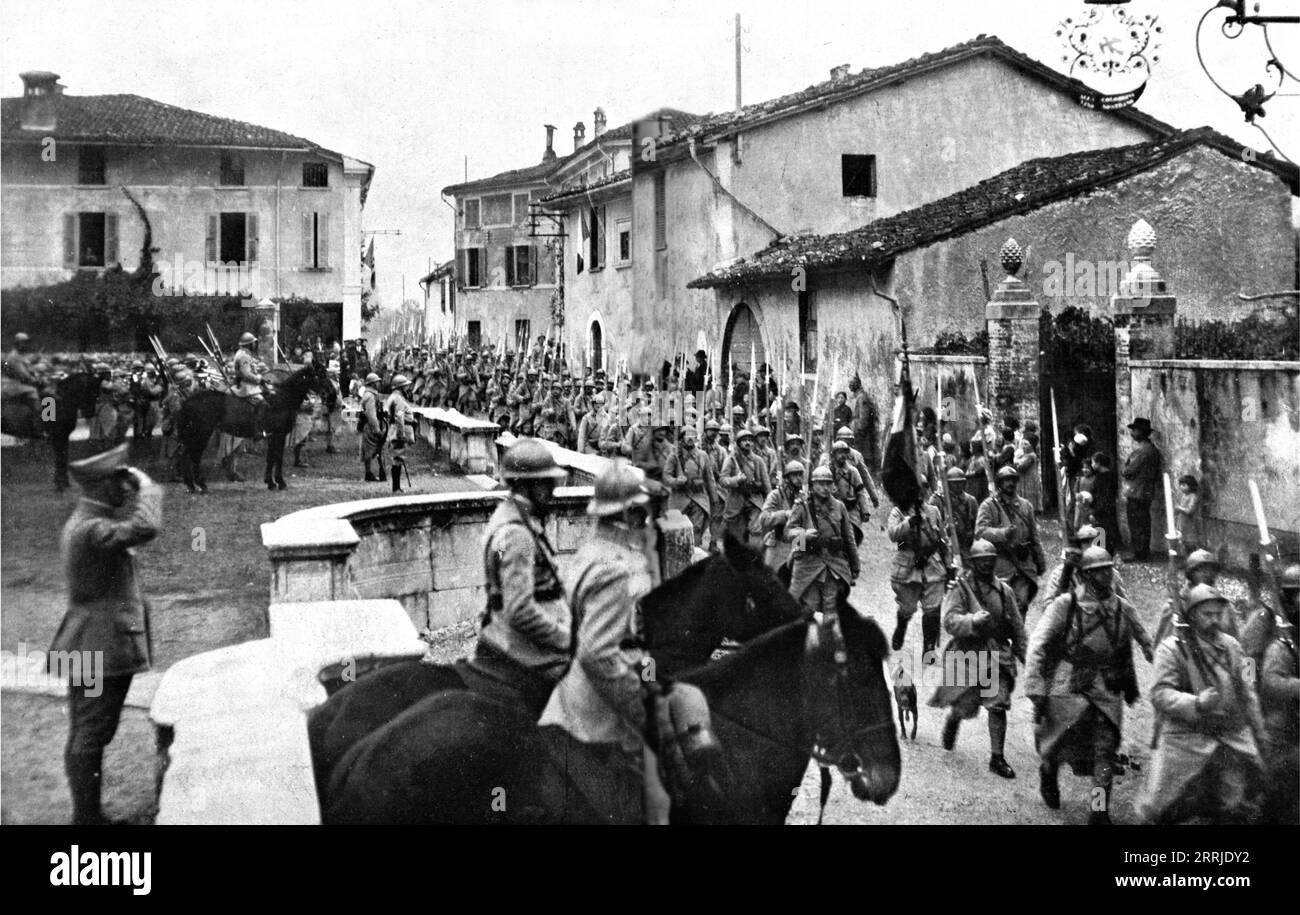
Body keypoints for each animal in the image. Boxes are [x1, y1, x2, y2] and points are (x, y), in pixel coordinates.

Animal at [172, 363, 330, 493]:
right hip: (202, 433)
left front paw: (270, 483)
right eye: (318, 375)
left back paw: (191, 486)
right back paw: (201, 485)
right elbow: (277, 458)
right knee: (194, 456)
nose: (328, 393)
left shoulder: (272, 437)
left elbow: (271, 458)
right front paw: (280, 483)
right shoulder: (278, 435)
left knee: (185, 456)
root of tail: (187, 401)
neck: (282, 400)